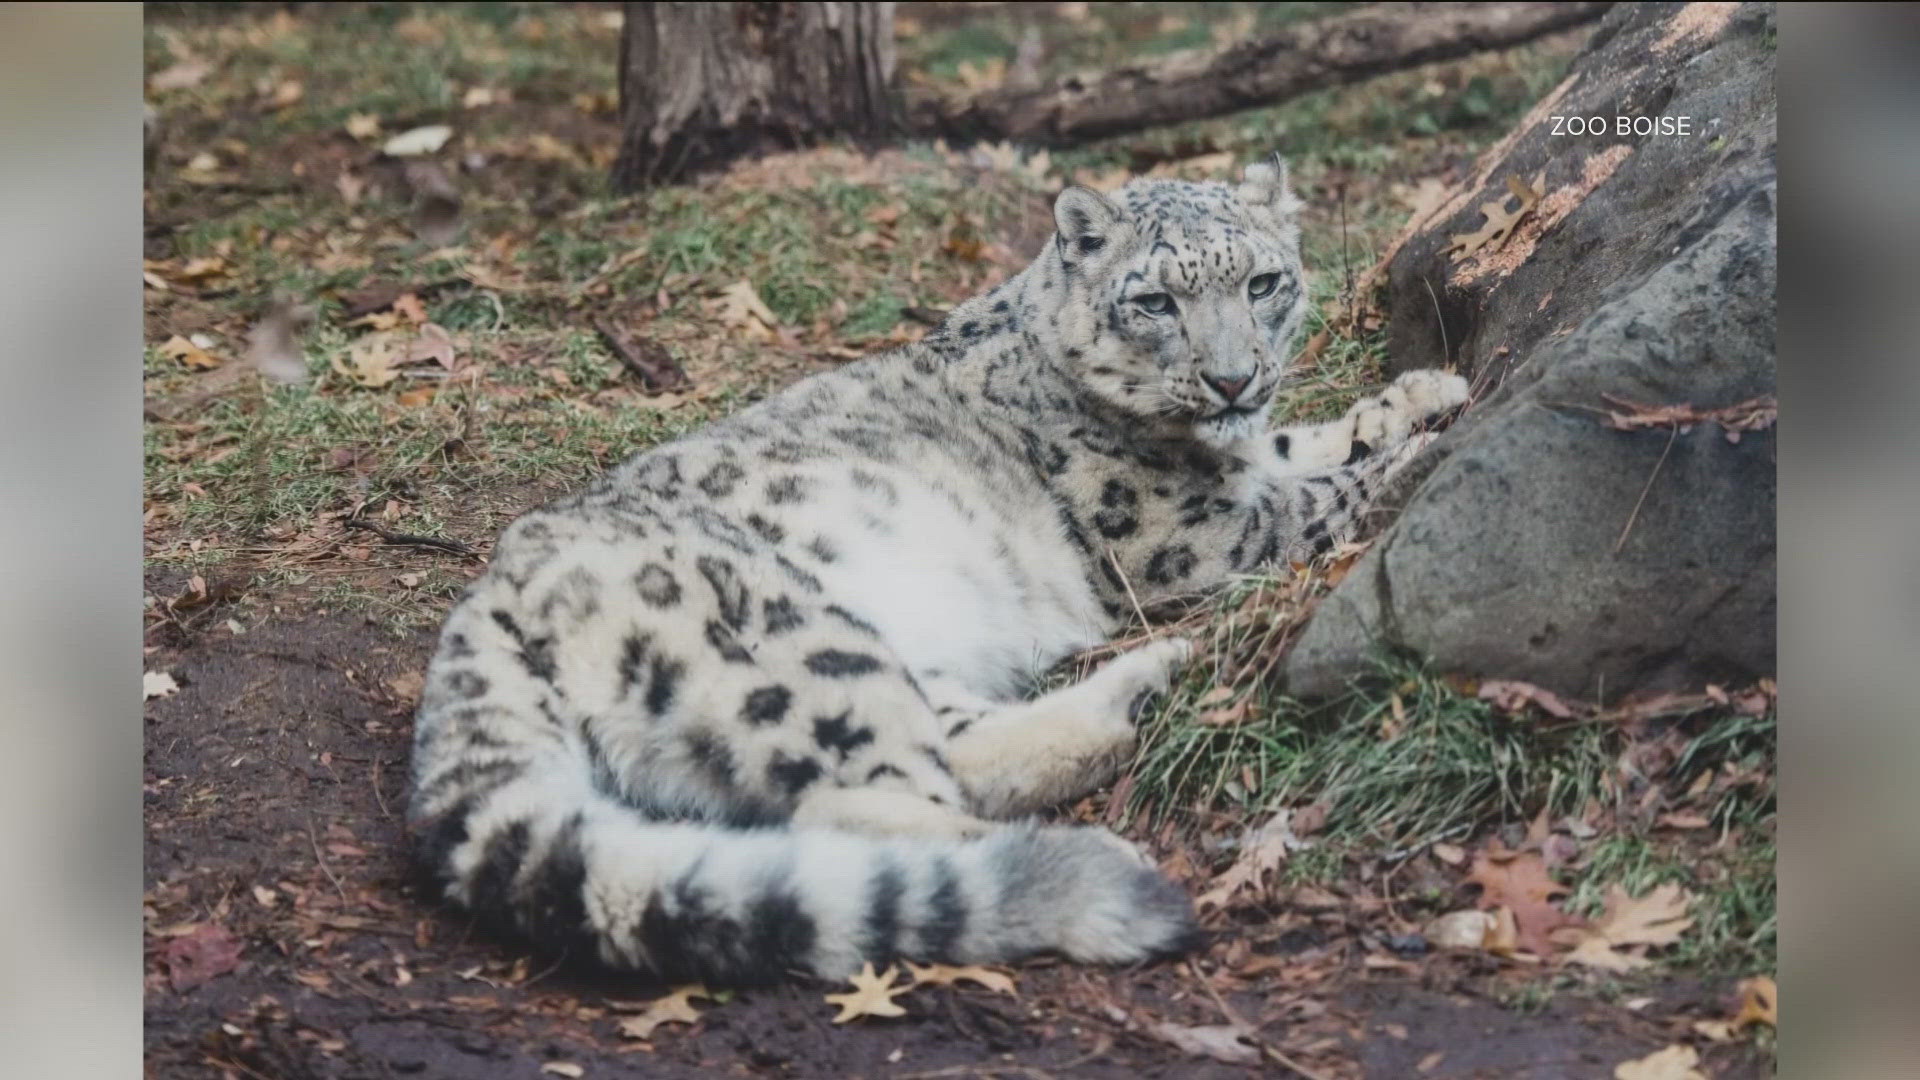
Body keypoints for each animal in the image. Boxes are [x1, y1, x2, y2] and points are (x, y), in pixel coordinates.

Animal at [408, 155, 1466, 980]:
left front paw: (1427, 391)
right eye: (1156, 300)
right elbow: (1309, 496)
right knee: (860, 804)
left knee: (953, 756)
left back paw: (1144, 690)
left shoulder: (1243, 462)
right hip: (792, 645)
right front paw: (1421, 454)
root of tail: (486, 598)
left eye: (1261, 283)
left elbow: (1297, 445)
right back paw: (1092, 846)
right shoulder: (1183, 533)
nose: (1232, 379)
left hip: (878, 666)